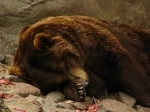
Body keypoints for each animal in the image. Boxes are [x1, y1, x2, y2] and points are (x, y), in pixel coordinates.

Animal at [7, 15, 150, 107]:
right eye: (59, 82)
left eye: (65, 65)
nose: (85, 82)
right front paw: (78, 90)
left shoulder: (95, 42)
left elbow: (123, 66)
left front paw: (147, 98)